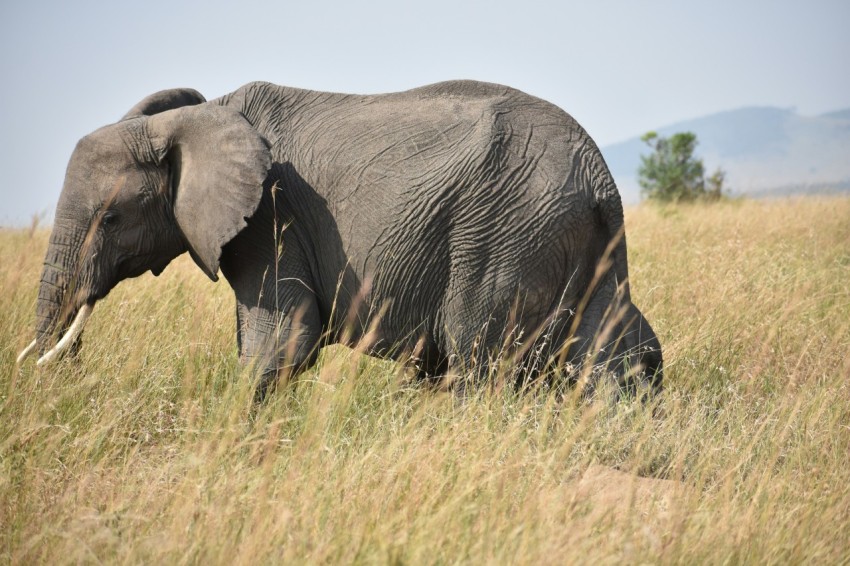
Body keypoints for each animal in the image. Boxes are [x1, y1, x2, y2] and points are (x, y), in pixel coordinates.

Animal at [17, 80, 663, 400]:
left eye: (111, 218)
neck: (193, 119)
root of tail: (600, 178)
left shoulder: (271, 218)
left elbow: (282, 340)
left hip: (503, 234)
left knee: (473, 358)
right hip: (577, 240)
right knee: (621, 353)